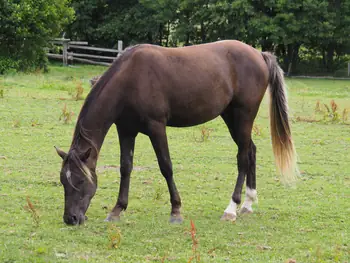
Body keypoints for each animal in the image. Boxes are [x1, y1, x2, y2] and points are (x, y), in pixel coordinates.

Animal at [55, 40, 298, 226]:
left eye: (79, 180)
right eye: (63, 181)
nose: (70, 218)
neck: (129, 79)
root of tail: (259, 54)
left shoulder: (156, 127)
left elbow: (166, 166)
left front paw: (176, 211)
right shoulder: (126, 130)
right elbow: (125, 168)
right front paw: (117, 209)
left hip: (243, 116)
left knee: (242, 158)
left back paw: (231, 208)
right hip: (231, 117)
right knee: (250, 151)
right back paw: (248, 203)